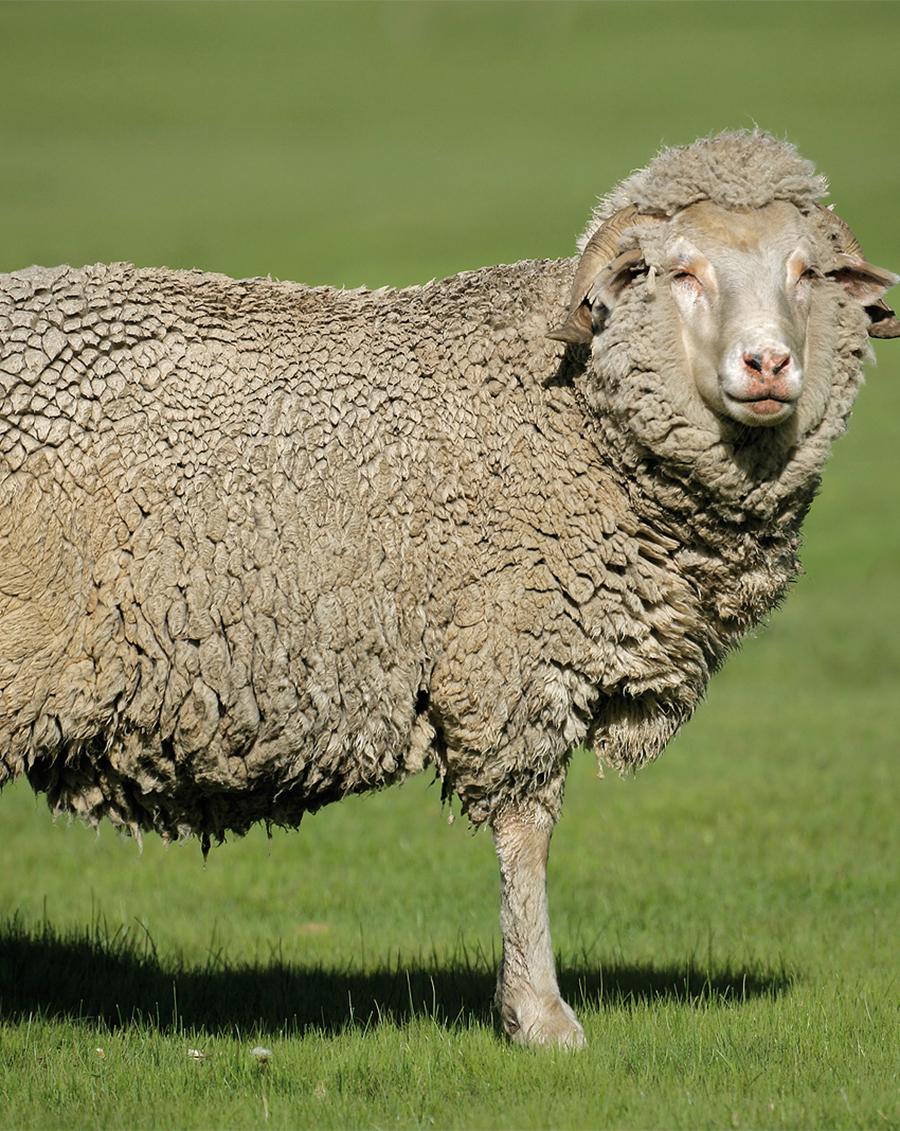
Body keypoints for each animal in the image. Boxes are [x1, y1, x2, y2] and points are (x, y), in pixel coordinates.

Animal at [0, 131, 897, 1048]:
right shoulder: (513, 655)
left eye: (806, 272)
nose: (768, 363)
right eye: (682, 270)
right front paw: (541, 1015)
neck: (574, 409)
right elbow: (526, 834)